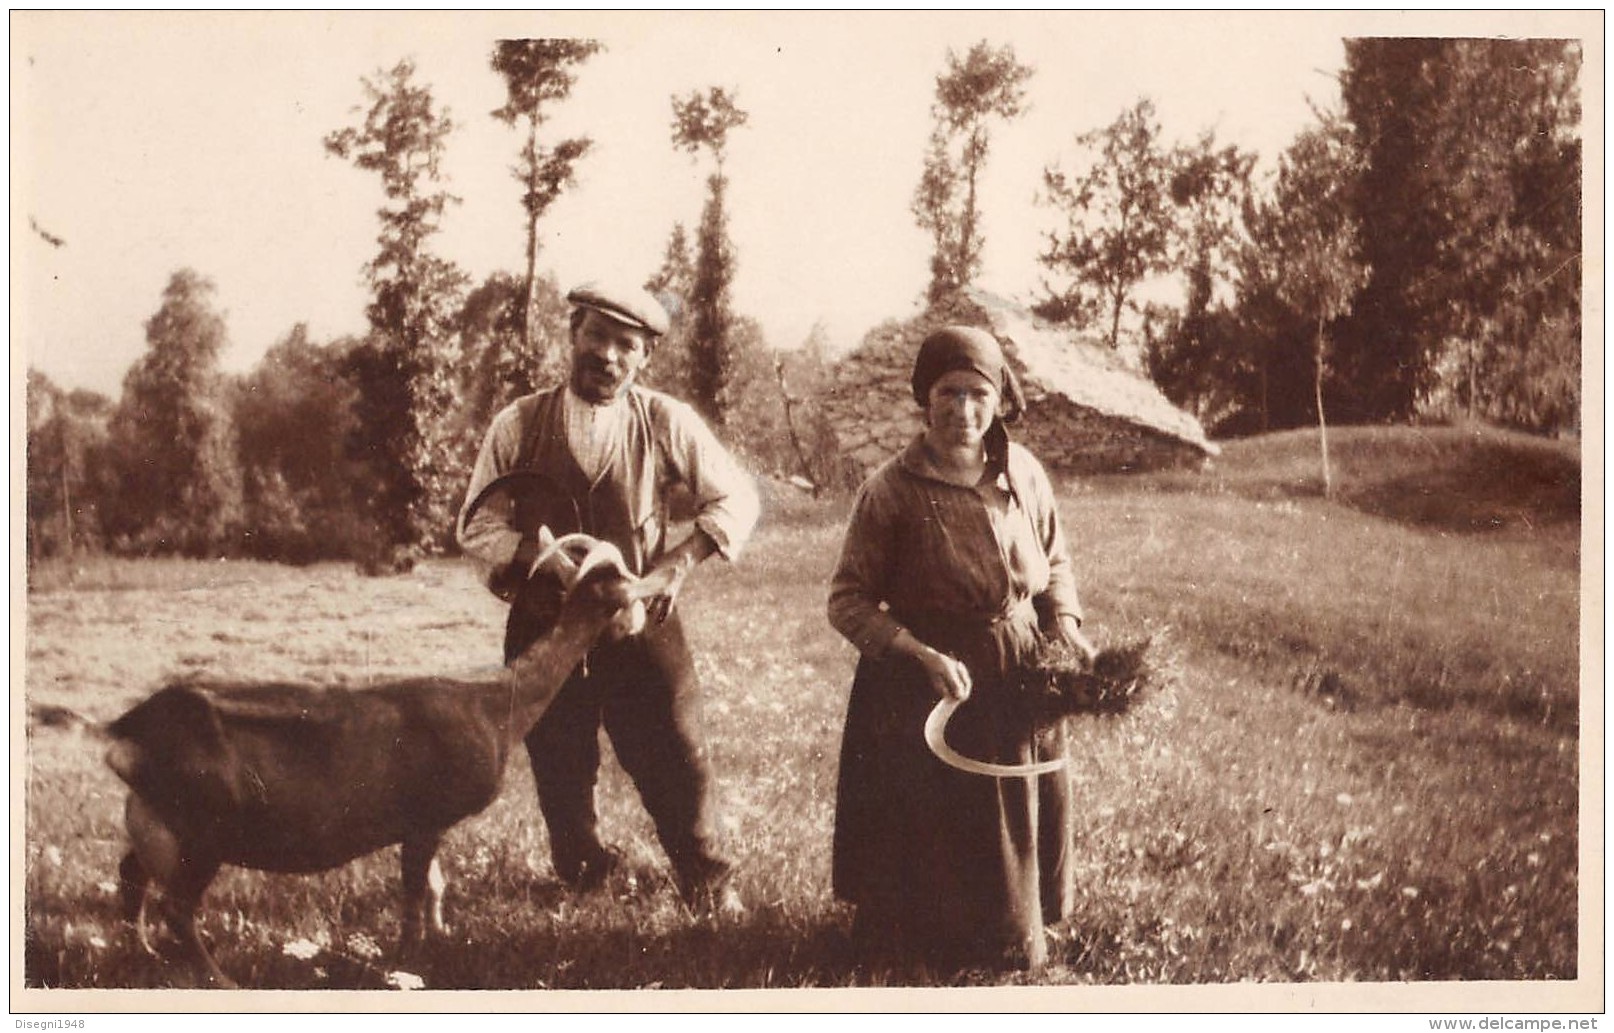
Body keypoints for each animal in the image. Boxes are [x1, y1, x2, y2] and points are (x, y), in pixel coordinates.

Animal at [104, 529, 668, 987]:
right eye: (622, 582)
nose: (647, 613)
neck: (494, 705)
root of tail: (131, 733)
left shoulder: (429, 823)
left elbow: (435, 884)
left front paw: (441, 937)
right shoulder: (423, 818)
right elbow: (416, 892)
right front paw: (409, 959)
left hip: (156, 823)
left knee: (131, 875)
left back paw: (142, 952)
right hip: (202, 831)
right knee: (177, 909)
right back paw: (220, 979)